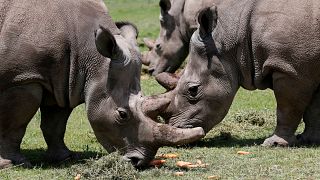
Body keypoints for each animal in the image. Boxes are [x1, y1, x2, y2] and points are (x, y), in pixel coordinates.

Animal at [0, 0, 204, 169]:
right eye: (122, 115)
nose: (138, 162)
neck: (90, 53)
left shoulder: (63, 81)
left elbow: (55, 124)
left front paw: (65, 158)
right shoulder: (22, 78)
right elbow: (14, 125)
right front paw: (13, 164)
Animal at [152, 0, 320, 146]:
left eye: (193, 90)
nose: (176, 128)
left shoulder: (289, 68)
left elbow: (286, 108)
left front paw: (275, 144)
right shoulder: (307, 68)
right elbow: (313, 110)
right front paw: (308, 139)